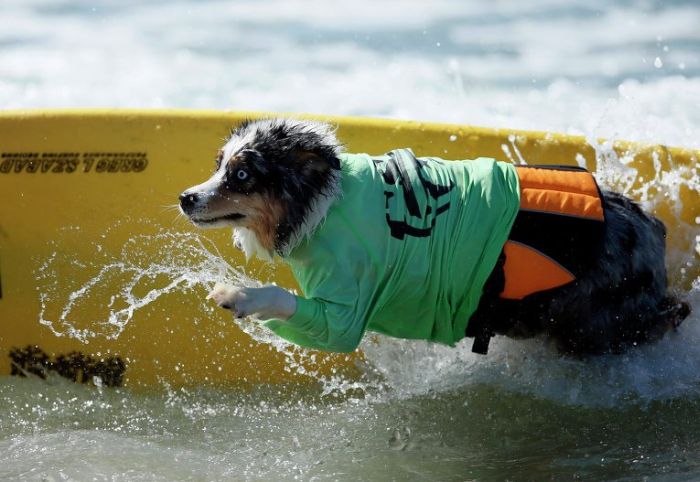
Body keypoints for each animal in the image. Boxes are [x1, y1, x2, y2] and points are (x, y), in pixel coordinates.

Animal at [179, 118, 688, 356]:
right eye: (218, 164)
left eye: (241, 174)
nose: (186, 197)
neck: (322, 206)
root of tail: (650, 226)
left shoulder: (345, 307)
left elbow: (289, 303)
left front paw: (237, 296)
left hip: (589, 325)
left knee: (667, 318)